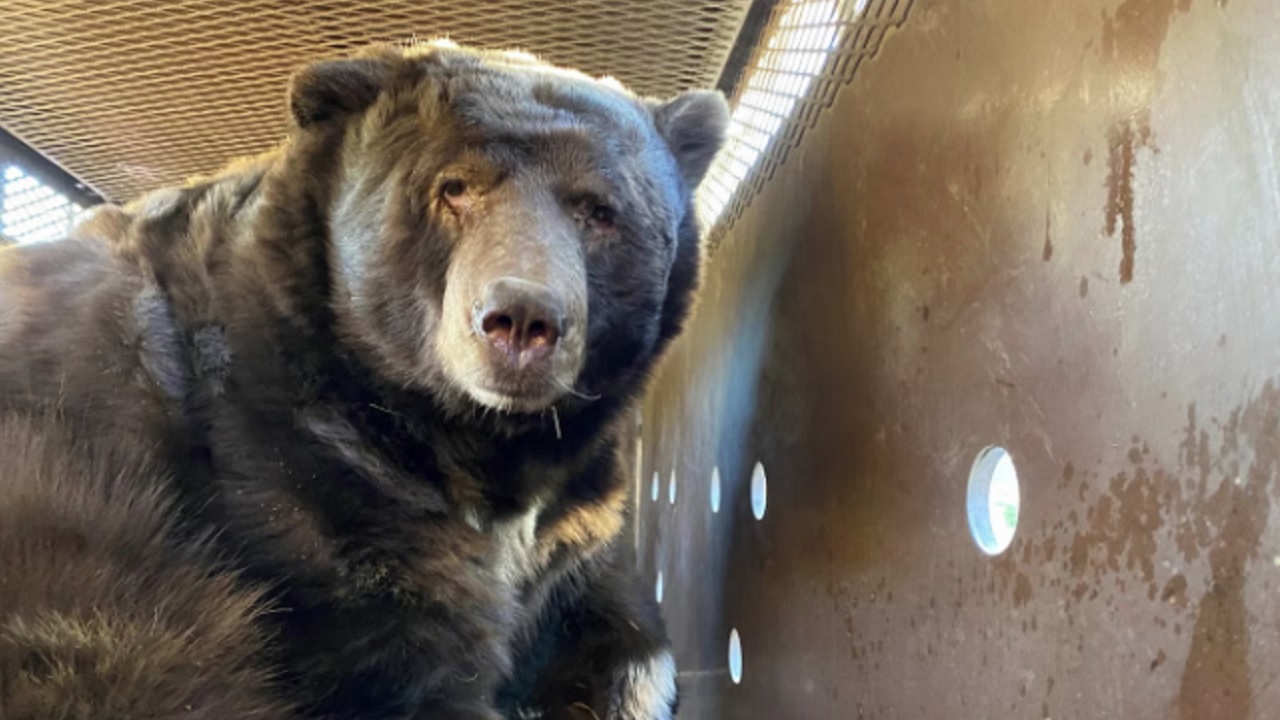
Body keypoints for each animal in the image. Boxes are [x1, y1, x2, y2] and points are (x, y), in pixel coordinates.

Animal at [0, 40, 727, 720]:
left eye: (599, 210)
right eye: (454, 187)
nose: (522, 318)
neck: (475, 441)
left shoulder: (577, 518)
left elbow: (618, 617)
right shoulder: (301, 479)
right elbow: (402, 657)